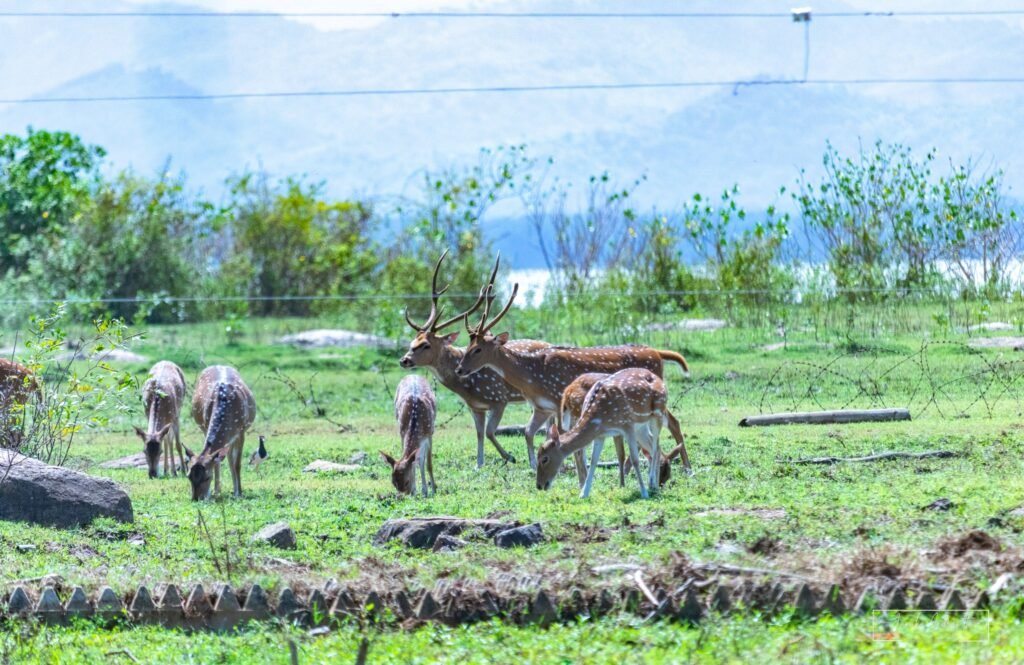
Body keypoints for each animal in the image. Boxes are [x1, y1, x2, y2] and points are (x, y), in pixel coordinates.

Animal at [185, 366, 256, 501]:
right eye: (188, 476)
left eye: (207, 477)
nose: (196, 498)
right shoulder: (206, 425)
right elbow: (217, 461)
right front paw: (216, 491)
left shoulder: (241, 431)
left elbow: (237, 464)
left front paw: (239, 493)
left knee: (230, 459)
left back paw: (235, 490)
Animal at [400, 251, 549, 468]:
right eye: (413, 340)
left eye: (426, 345)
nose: (404, 360)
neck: (466, 387)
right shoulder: (475, 406)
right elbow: (479, 433)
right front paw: (479, 464)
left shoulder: (499, 398)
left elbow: (489, 432)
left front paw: (509, 456)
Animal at [454, 275, 691, 470]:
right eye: (467, 346)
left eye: (477, 349)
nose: (459, 369)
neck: (531, 376)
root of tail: (657, 353)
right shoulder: (542, 407)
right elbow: (529, 432)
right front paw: (533, 464)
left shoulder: (559, 398)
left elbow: (559, 433)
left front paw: (563, 466)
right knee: (670, 422)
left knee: (673, 421)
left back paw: (687, 467)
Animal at [537, 368, 671, 498]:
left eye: (545, 459)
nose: (539, 485)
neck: (600, 418)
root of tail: (659, 379)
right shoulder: (601, 434)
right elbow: (593, 461)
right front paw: (584, 493)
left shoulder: (627, 425)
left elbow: (635, 460)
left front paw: (644, 493)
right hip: (641, 426)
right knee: (655, 447)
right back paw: (654, 485)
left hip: (658, 413)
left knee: (655, 447)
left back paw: (652, 484)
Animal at [561, 372, 690, 488]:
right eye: (665, 473)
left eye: (668, 476)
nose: (660, 485)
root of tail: (566, 393)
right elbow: (622, 454)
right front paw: (622, 482)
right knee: (578, 450)